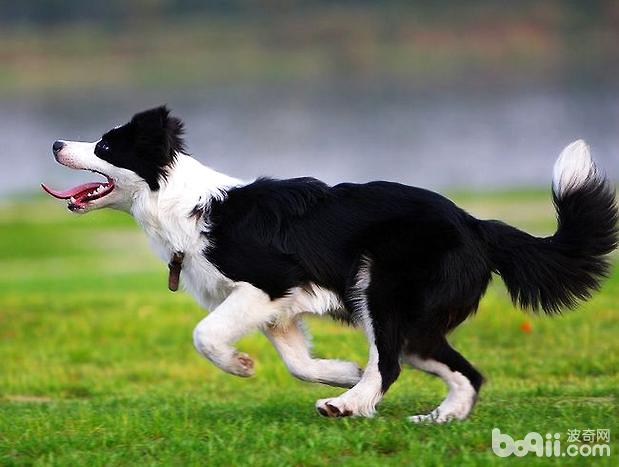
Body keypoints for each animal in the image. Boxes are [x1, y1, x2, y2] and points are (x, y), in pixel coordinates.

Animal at [42, 108, 616, 422]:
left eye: (105, 146)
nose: (55, 142)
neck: (181, 205)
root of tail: (478, 224)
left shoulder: (268, 283)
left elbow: (205, 335)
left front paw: (241, 365)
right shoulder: (278, 309)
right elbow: (298, 362)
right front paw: (340, 372)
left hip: (381, 293)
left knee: (391, 363)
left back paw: (350, 407)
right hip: (413, 322)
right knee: (457, 370)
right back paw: (436, 418)